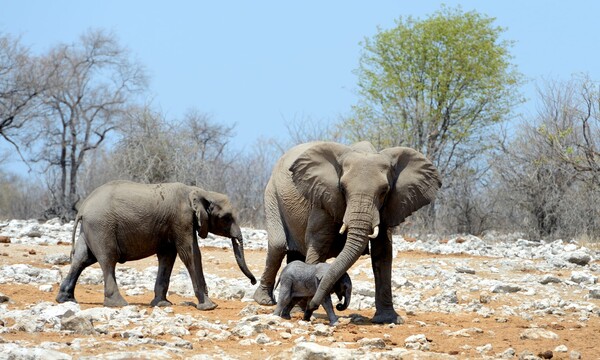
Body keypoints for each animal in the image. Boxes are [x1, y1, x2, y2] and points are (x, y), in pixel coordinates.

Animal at [57, 180, 258, 310]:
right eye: (227, 218)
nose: (253, 281)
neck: (200, 191)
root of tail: (82, 208)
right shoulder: (182, 219)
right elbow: (190, 253)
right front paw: (209, 306)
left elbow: (168, 257)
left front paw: (161, 304)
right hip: (101, 226)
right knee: (108, 259)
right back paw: (118, 304)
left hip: (91, 228)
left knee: (82, 259)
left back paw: (66, 300)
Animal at [253, 141, 440, 324]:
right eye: (342, 189)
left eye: (384, 191)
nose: (339, 305)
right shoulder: (324, 198)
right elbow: (318, 245)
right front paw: (309, 310)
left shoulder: (389, 207)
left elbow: (383, 252)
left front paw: (388, 320)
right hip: (272, 195)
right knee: (278, 246)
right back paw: (266, 301)